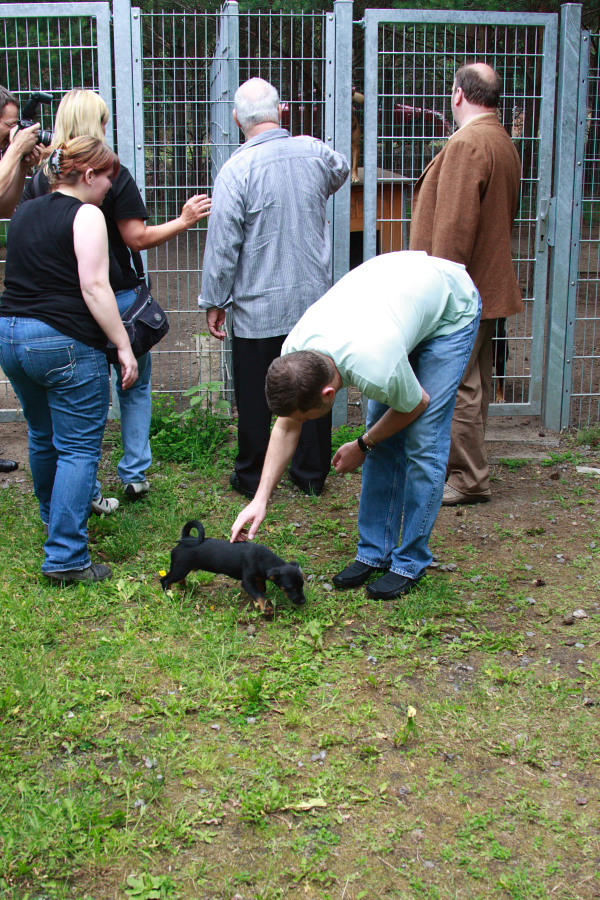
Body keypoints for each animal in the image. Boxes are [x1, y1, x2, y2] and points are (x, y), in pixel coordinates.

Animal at [161, 520, 304, 612]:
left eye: (302, 585)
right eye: (290, 587)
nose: (303, 601)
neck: (265, 560)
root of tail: (186, 538)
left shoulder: (260, 579)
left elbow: (261, 591)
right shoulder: (247, 582)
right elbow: (260, 595)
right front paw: (267, 608)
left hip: (183, 569)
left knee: (179, 579)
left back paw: (184, 588)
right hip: (180, 568)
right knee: (165, 580)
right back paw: (169, 595)